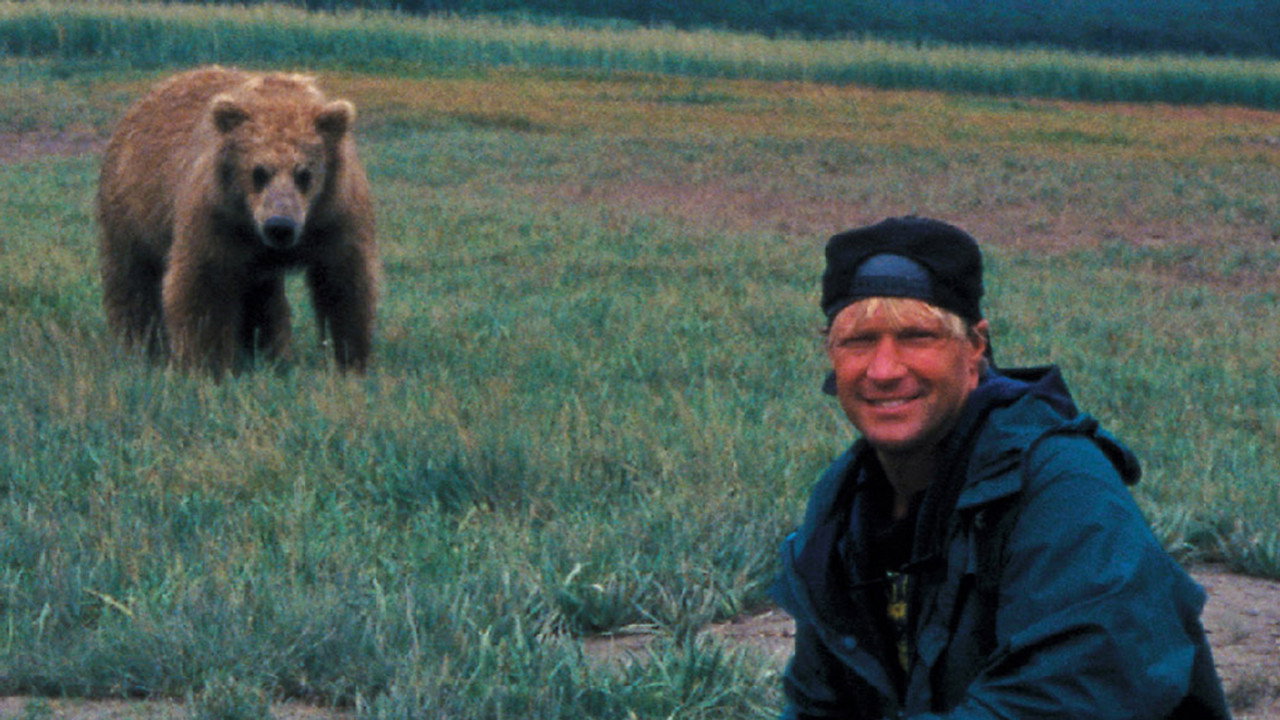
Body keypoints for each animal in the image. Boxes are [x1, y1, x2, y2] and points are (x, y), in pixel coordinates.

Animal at [96, 65, 380, 377]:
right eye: (259, 172)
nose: (280, 226)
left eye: (304, 174)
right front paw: (206, 364)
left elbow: (344, 284)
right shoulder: (217, 219)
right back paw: (141, 344)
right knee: (133, 281)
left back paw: (268, 353)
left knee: (262, 299)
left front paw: (350, 361)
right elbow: (203, 286)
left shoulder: (336, 218)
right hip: (132, 212)